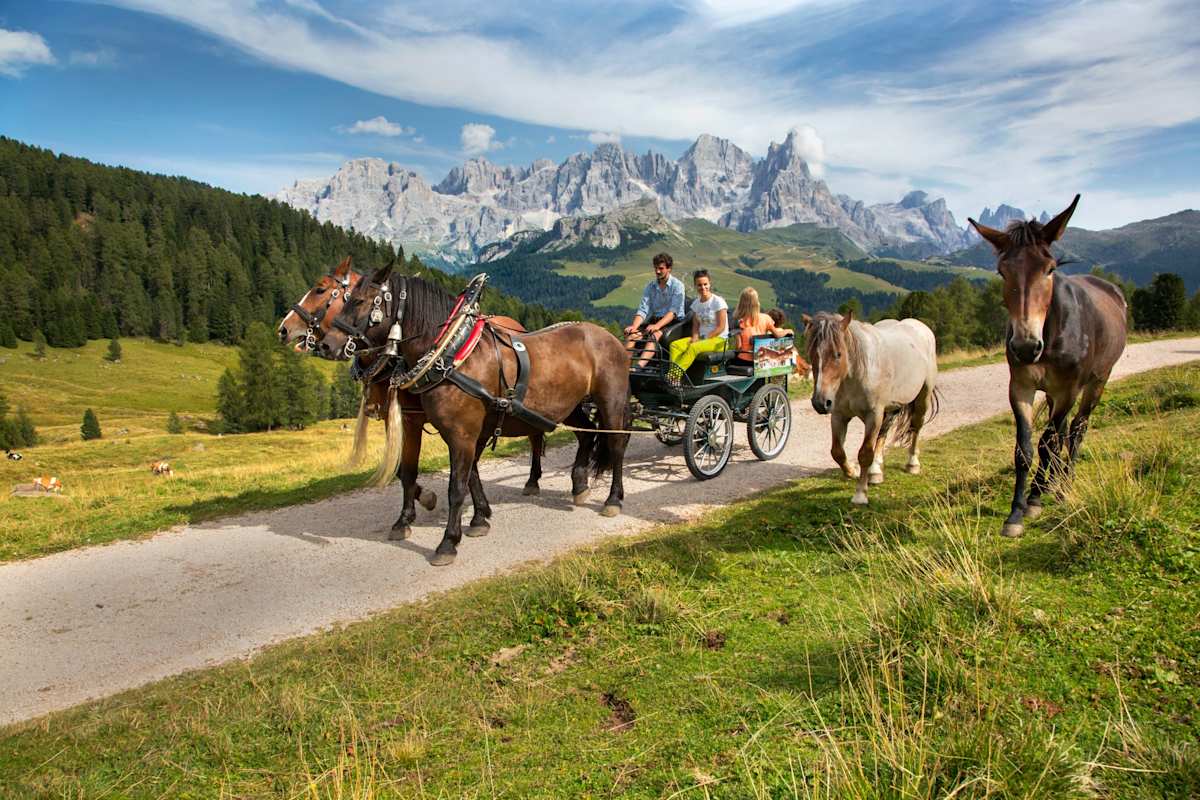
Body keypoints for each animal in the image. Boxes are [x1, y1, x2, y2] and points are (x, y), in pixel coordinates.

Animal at [276, 257, 546, 531]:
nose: (283, 329)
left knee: (535, 436)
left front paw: (423, 507)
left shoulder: (417, 419)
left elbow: (419, 469)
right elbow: (403, 469)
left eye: (320, 289)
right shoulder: (399, 418)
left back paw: (531, 481)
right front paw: (421, 508)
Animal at [318, 263, 631, 566]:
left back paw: (613, 499)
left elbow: (457, 486)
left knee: (616, 444)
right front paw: (479, 519)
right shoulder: (462, 431)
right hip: (568, 406)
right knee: (586, 434)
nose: (326, 344)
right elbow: (464, 475)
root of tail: (608, 337)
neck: (452, 354)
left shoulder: (462, 434)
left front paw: (448, 542)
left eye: (359, 301)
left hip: (611, 400)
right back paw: (579, 485)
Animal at [803, 311, 939, 505]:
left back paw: (912, 464)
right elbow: (837, 452)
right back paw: (875, 471)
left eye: (838, 354)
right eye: (812, 355)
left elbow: (865, 453)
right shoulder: (838, 415)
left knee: (916, 427)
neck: (856, 374)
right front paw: (853, 471)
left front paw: (860, 494)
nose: (820, 402)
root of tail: (922, 328)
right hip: (889, 409)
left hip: (922, 399)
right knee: (883, 434)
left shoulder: (873, 415)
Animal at [968, 195, 1127, 538]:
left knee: (1076, 431)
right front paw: (1016, 511)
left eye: (1049, 269)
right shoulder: (1021, 387)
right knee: (1063, 431)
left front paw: (1034, 501)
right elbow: (1025, 449)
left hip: (1096, 382)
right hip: (1053, 392)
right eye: (1002, 272)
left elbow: (1047, 443)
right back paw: (1051, 484)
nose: (1026, 347)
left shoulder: (1069, 389)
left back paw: (1064, 485)